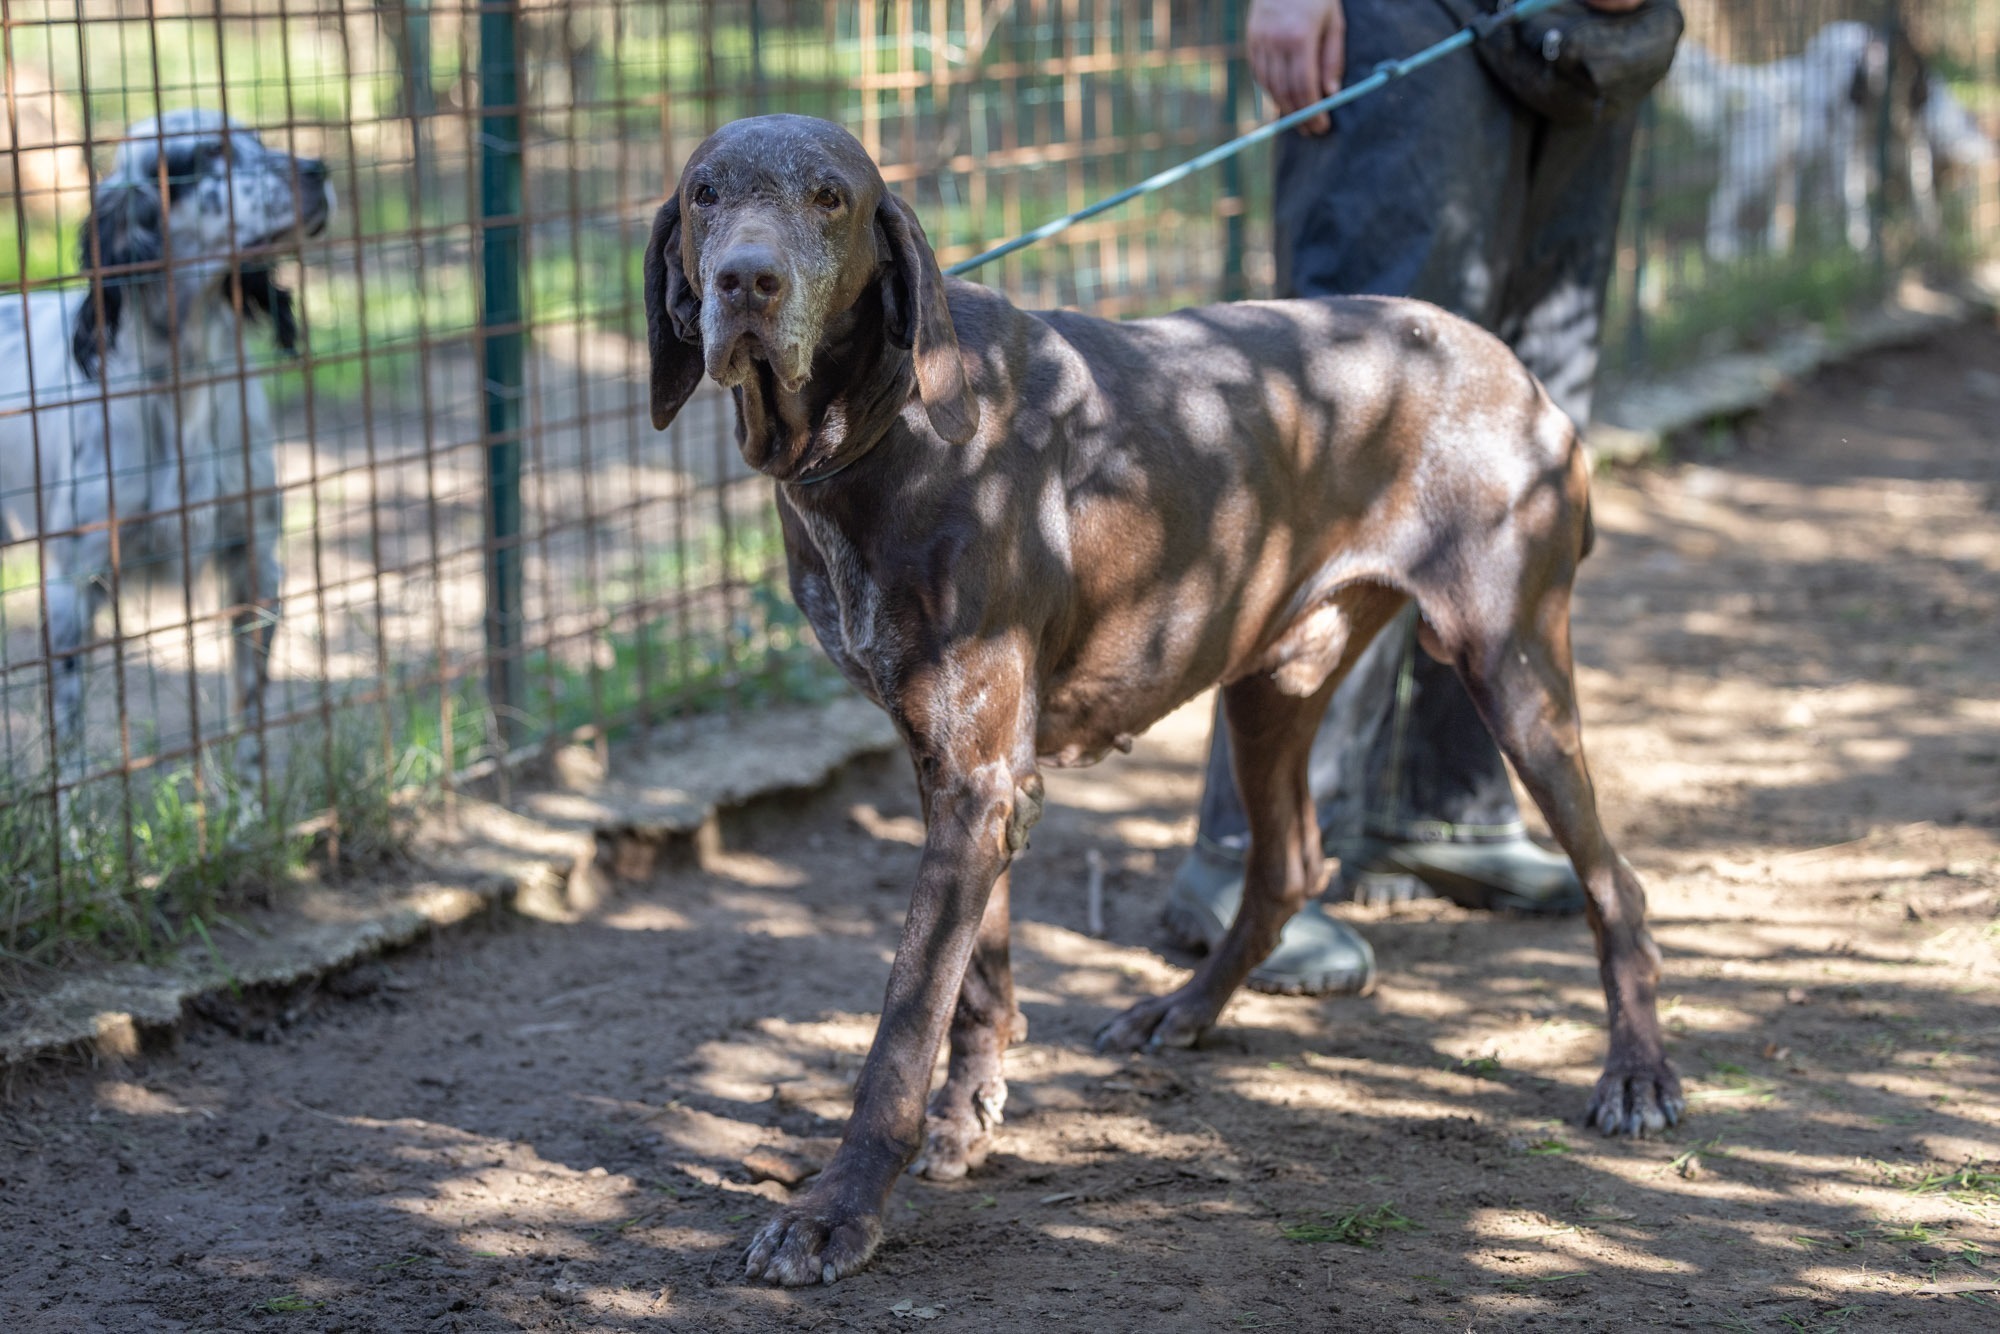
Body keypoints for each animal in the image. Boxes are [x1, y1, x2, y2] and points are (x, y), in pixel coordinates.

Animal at [0, 110, 332, 775]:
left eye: (259, 139)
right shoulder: (71, 591)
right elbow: (68, 754)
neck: (185, 380)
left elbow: (250, 726)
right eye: (207, 155)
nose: (319, 170)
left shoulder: (255, 566)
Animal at [643, 114, 1682, 1286]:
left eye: (829, 196)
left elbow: (903, 1021)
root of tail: (1515, 365)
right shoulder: (963, 776)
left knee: (1614, 883)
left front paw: (840, 1208)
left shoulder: (977, 782)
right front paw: (966, 1114)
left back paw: (1637, 1074)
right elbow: (977, 979)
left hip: (1510, 667)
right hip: (1271, 683)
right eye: (704, 193)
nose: (748, 280)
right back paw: (1182, 1012)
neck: (888, 425)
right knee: (1285, 866)